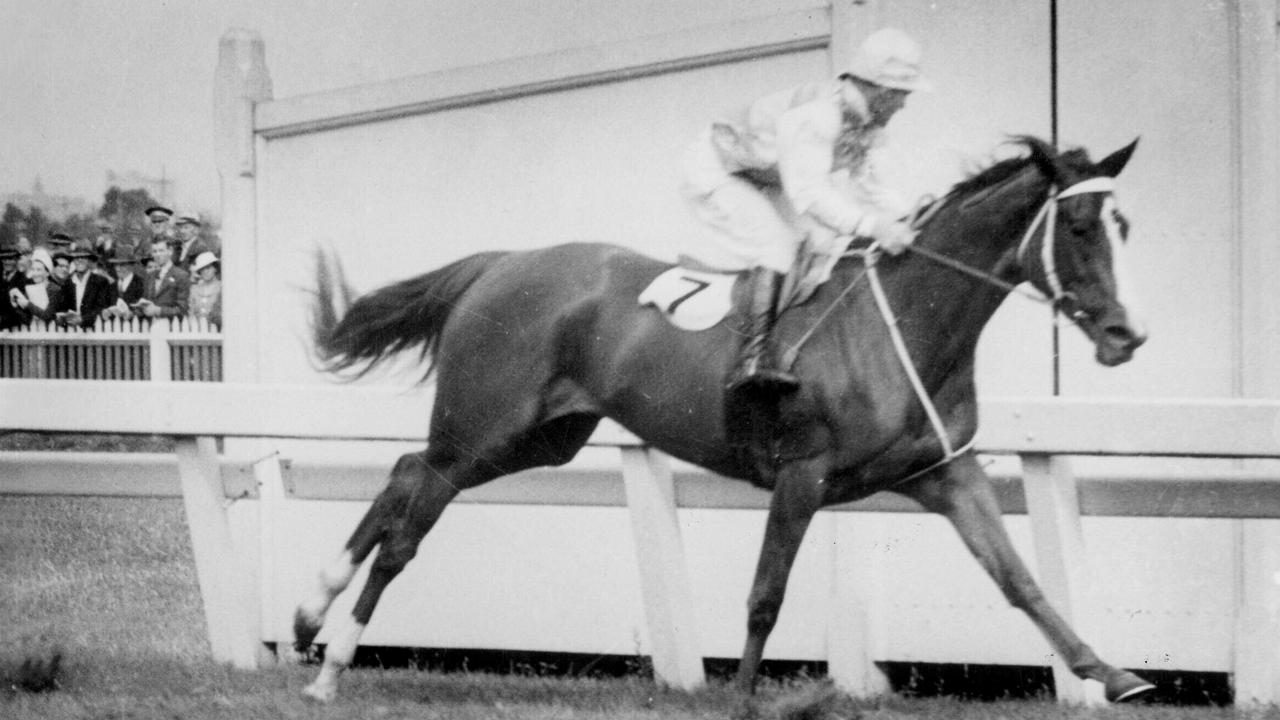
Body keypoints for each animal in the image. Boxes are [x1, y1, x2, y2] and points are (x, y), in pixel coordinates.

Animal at [293, 134, 1152, 702]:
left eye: (1123, 228)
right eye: (1079, 228)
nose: (1125, 336)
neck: (905, 322)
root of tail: (499, 264)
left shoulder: (943, 473)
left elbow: (1021, 581)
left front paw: (1112, 673)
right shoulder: (803, 474)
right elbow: (766, 596)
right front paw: (740, 698)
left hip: (537, 439)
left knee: (403, 472)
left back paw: (309, 616)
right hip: (484, 426)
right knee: (411, 518)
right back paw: (332, 665)